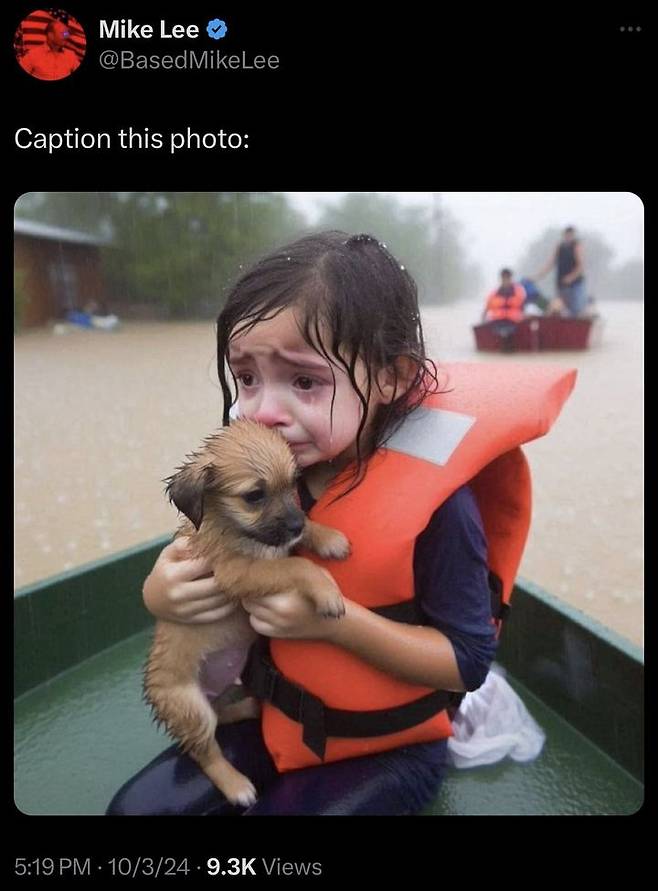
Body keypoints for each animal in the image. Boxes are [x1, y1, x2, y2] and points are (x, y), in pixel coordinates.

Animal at [144, 420, 348, 808]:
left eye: (293, 483)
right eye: (254, 495)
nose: (296, 526)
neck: (230, 526)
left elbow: (296, 545)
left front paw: (328, 537)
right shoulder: (237, 572)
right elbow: (296, 565)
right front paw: (328, 591)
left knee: (222, 716)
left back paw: (251, 706)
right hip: (190, 707)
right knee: (205, 751)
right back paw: (237, 785)